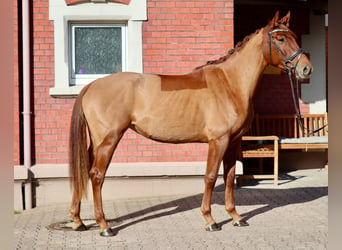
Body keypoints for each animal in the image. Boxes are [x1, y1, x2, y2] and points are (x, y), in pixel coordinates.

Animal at [69, 10, 312, 235]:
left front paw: (235, 216)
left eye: (293, 36)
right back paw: (104, 225)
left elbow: (230, 176)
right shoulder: (218, 141)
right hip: (108, 140)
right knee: (97, 175)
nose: (306, 68)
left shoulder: (233, 142)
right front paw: (210, 220)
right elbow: (211, 177)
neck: (230, 84)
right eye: (280, 39)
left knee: (84, 170)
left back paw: (78, 220)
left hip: (97, 143)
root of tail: (92, 85)